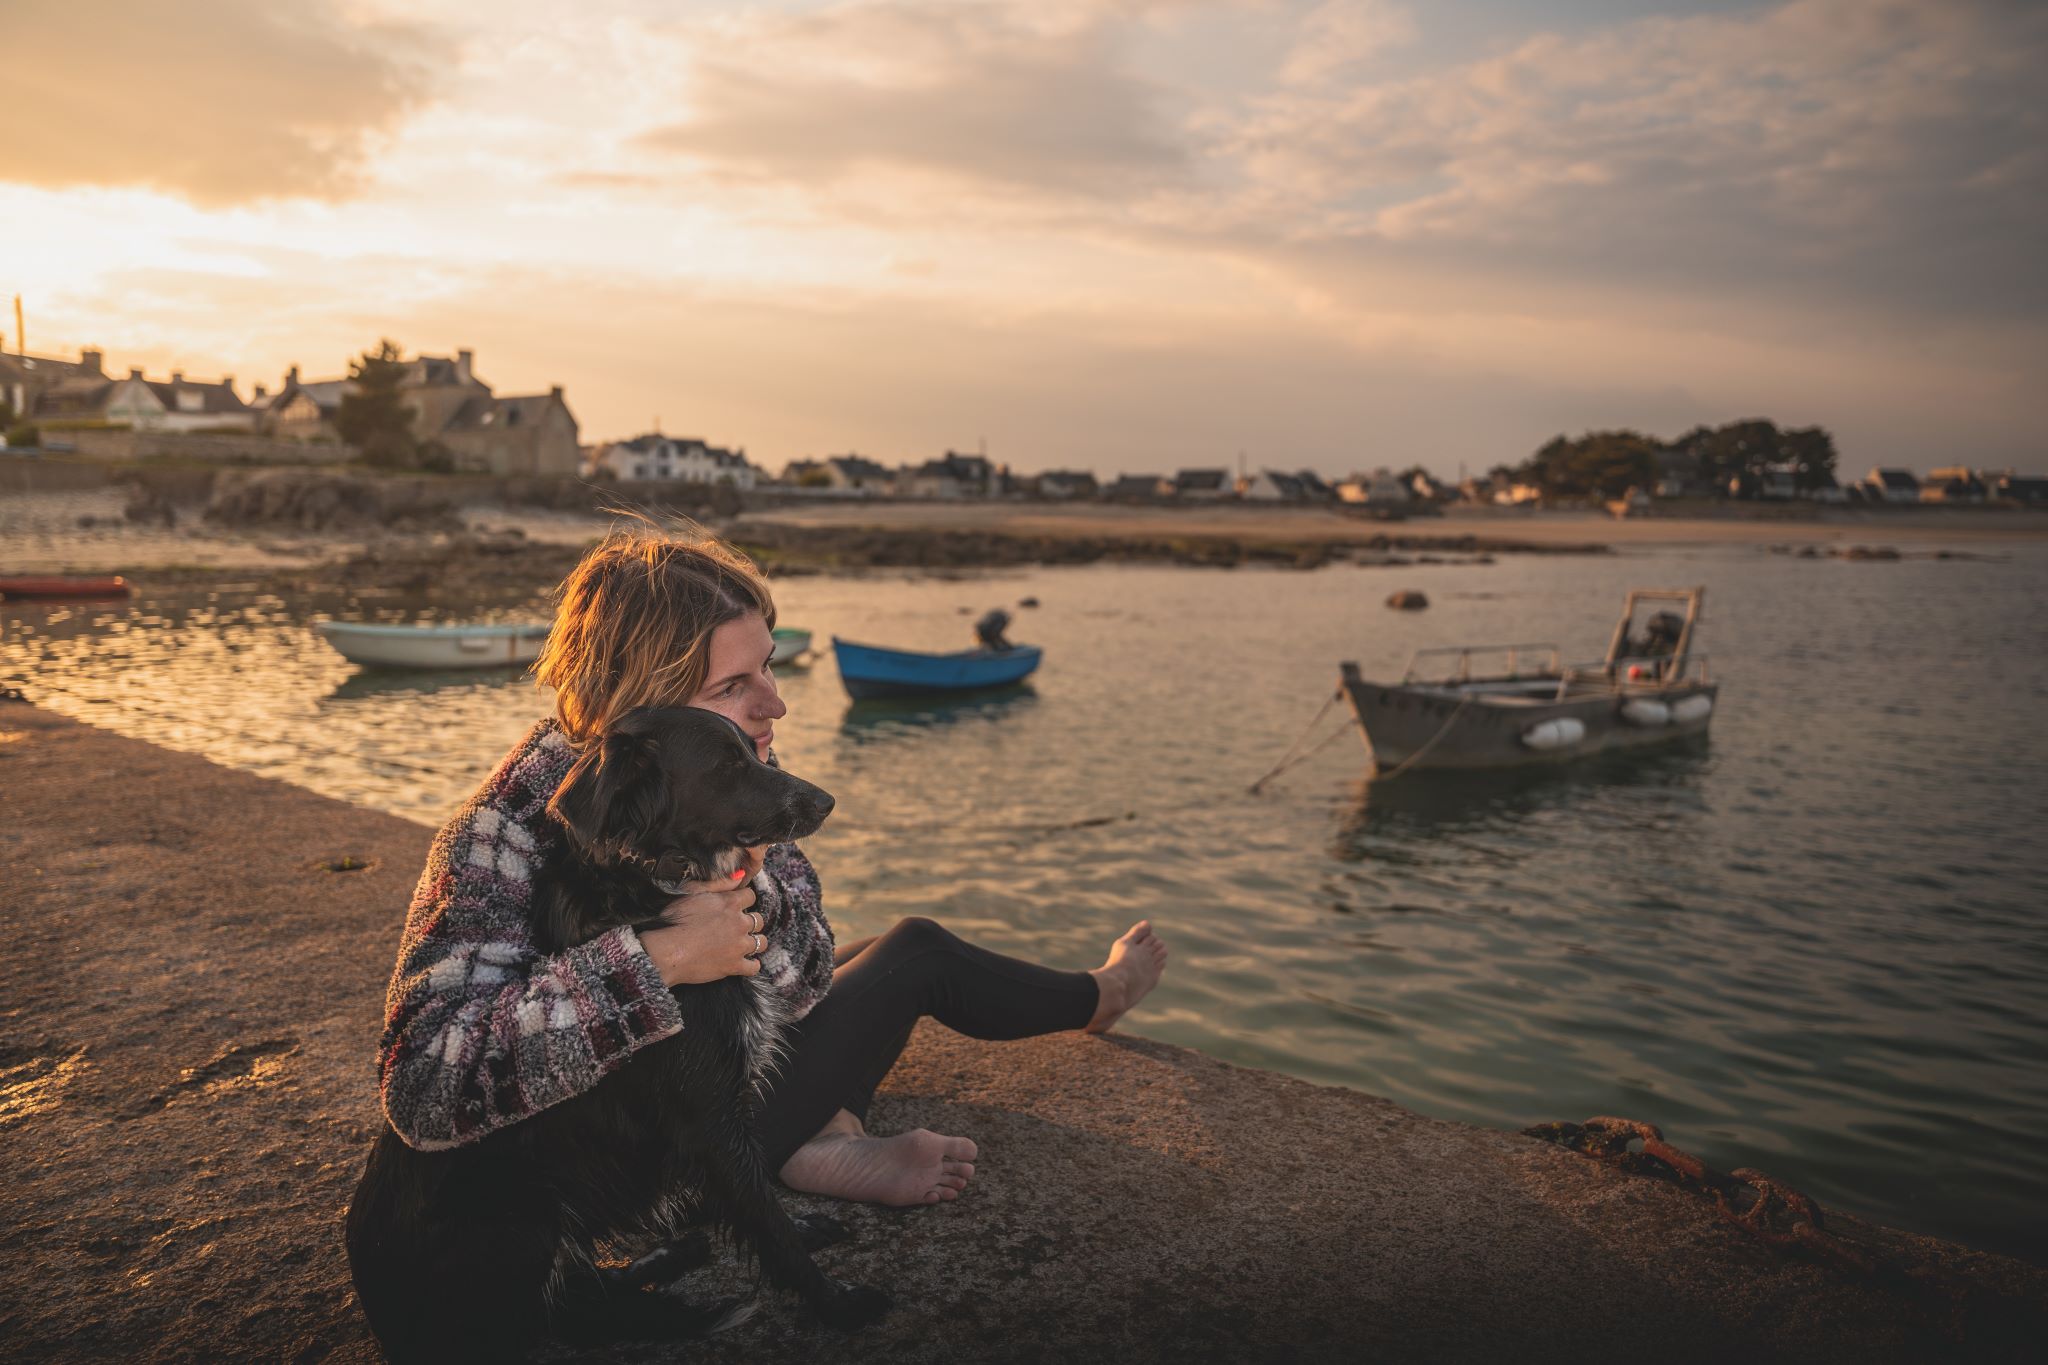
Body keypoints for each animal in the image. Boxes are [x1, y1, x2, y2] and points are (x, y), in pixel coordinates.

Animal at [346, 712, 888, 1358]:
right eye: (728, 764)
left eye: (754, 752)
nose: (827, 801)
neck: (656, 879)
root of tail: (378, 1313)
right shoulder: (708, 1116)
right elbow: (764, 1218)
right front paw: (837, 1302)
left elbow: (759, 1204)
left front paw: (805, 1233)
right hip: (524, 1216)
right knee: (557, 1317)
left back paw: (669, 1257)